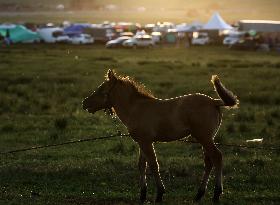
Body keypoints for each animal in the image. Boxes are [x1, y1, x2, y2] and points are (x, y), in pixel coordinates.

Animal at [82, 69, 238, 203]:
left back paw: (216, 194)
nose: (84, 103)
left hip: (204, 138)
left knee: (217, 157)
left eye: (101, 89)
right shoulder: (142, 142)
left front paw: (159, 194)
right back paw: (199, 194)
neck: (136, 109)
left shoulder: (146, 142)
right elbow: (142, 165)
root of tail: (214, 101)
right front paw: (143, 195)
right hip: (205, 139)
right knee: (209, 162)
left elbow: (153, 165)